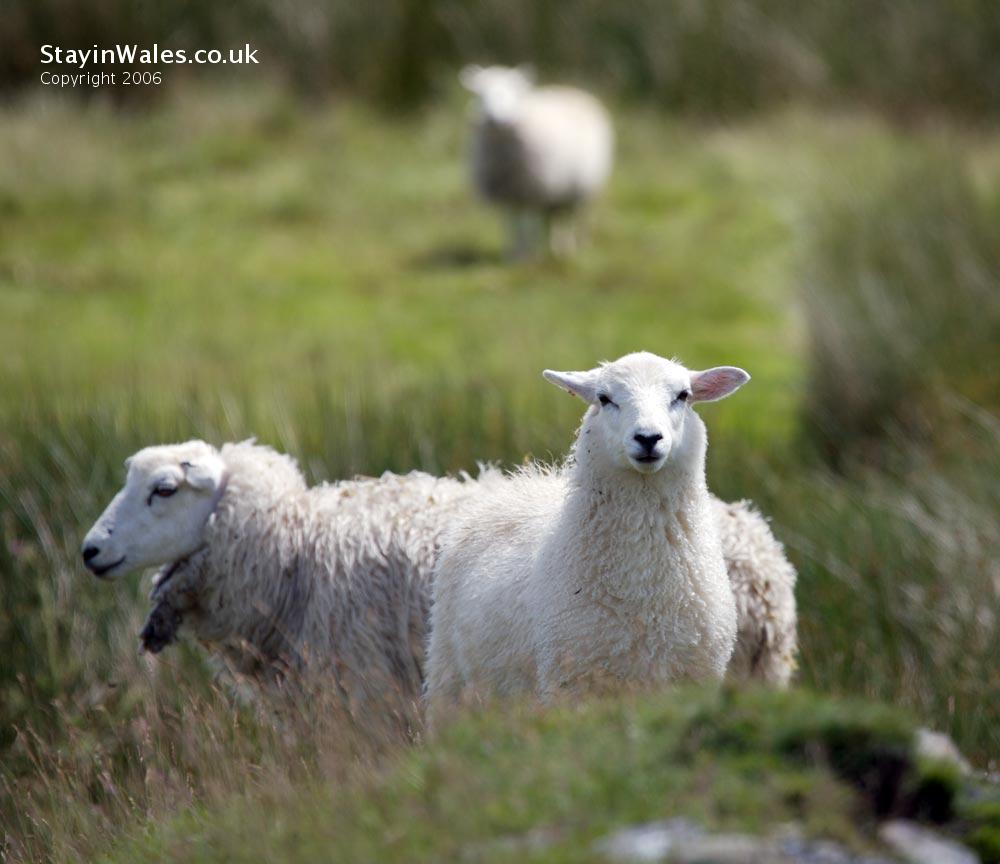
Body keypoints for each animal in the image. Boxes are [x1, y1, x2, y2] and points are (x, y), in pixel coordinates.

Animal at [425, 351, 790, 719]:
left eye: (683, 395)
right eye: (604, 398)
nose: (648, 437)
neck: (645, 587)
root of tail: (521, 482)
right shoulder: (572, 686)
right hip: (448, 679)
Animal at [459, 64, 613, 258]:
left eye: (513, 90)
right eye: (480, 93)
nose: (496, 118)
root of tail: (572, 90)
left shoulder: (531, 188)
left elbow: (527, 224)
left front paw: (527, 253)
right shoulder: (509, 193)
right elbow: (511, 223)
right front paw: (513, 253)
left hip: (583, 187)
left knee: (577, 216)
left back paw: (577, 246)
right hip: (557, 189)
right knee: (555, 217)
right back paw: (556, 246)